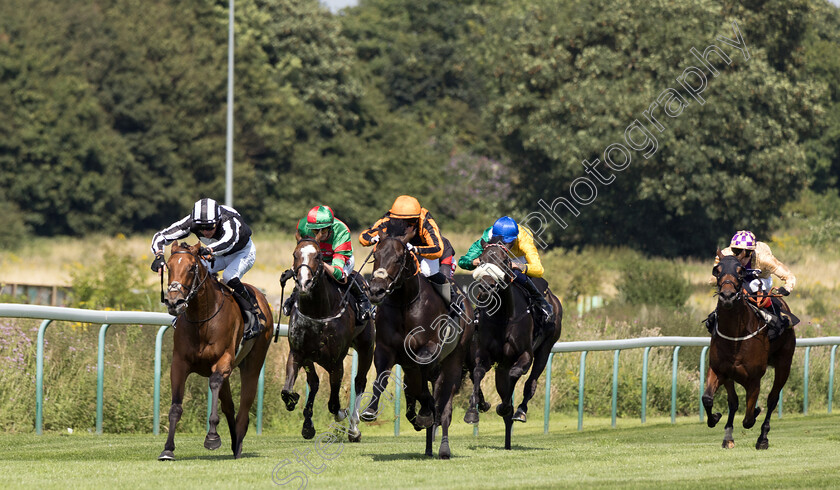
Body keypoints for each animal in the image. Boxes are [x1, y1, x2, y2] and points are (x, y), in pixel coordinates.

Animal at [158, 241, 272, 460]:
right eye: (168, 266)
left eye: (191, 267)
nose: (174, 302)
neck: (202, 319)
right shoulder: (179, 364)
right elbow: (176, 406)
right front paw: (167, 449)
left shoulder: (223, 361)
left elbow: (214, 383)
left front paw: (212, 437)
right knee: (229, 405)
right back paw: (235, 441)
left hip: (253, 363)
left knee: (245, 402)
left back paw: (238, 444)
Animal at [278, 239, 374, 442]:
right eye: (295, 254)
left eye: (318, 256)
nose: (304, 283)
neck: (318, 313)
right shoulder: (299, 353)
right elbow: (291, 389)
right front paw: (303, 418)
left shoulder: (336, 361)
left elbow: (333, 404)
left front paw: (342, 414)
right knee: (315, 383)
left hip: (367, 347)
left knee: (360, 381)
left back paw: (354, 428)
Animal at [462, 239, 560, 450]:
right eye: (481, 259)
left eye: (505, 260)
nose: (487, 285)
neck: (503, 316)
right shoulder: (484, 353)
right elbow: (477, 373)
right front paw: (473, 411)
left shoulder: (525, 354)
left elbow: (515, 375)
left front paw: (505, 407)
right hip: (502, 364)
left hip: (545, 349)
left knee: (531, 382)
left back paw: (519, 411)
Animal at [704, 251, 796, 450]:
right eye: (717, 270)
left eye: (740, 271)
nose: (727, 295)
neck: (735, 337)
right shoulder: (719, 370)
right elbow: (709, 399)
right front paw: (716, 418)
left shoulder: (754, 380)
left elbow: (748, 419)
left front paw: (755, 412)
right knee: (733, 402)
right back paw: (729, 436)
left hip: (784, 364)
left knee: (772, 399)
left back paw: (763, 438)